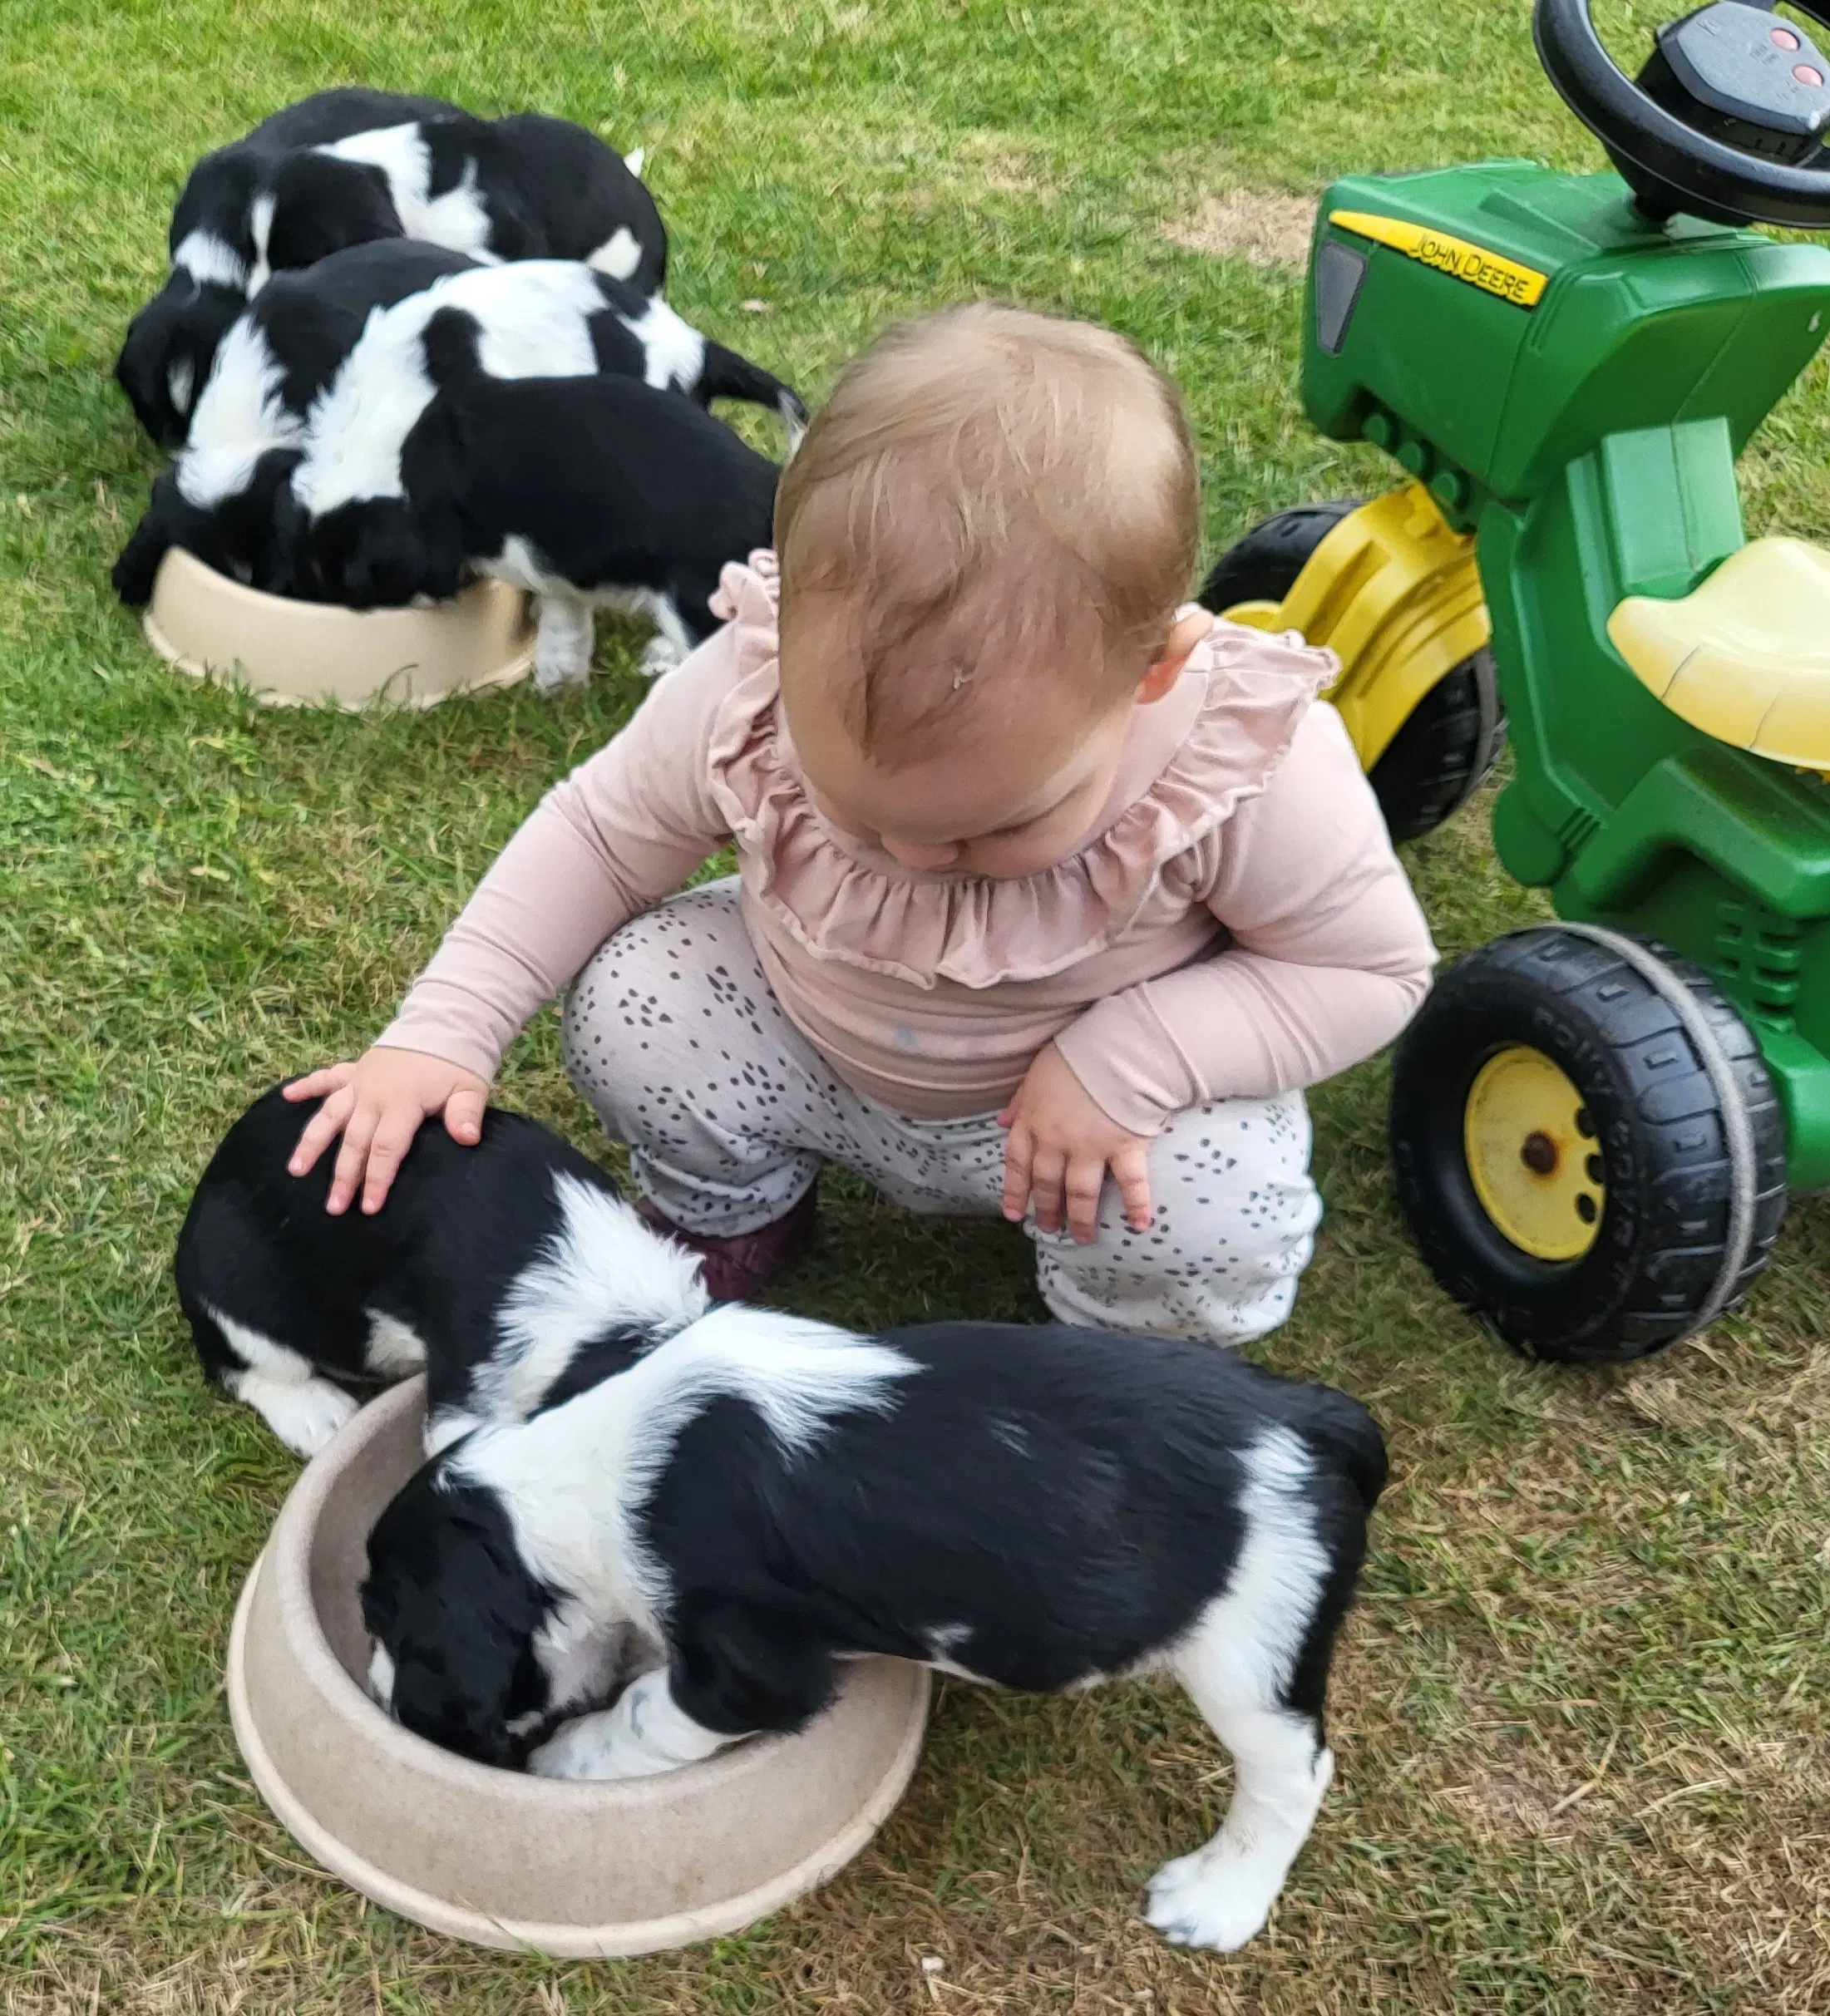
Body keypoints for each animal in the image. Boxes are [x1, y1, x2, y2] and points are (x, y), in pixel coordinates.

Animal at [175, 1088, 1386, 1951]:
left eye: (394, 1627)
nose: (384, 1699)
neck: (598, 1433)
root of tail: (1314, 1416)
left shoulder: (745, 1664)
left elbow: (645, 1716)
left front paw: (569, 1759)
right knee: (247, 1352)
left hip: (1251, 1646)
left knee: (1292, 1773)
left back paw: (1215, 1900)